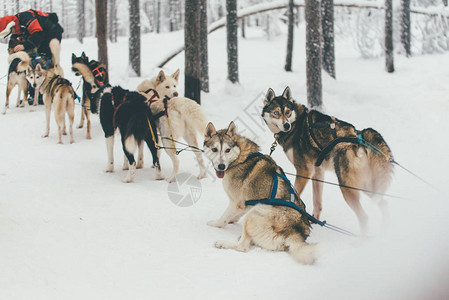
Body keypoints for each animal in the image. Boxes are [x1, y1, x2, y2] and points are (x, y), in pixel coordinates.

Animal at [203, 120, 316, 264]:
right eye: (214, 150)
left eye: (227, 150)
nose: (221, 166)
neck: (240, 157)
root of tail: (295, 232)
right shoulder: (246, 203)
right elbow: (233, 215)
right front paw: (232, 220)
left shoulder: (236, 202)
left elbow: (223, 218)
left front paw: (216, 223)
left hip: (255, 212)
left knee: (243, 247)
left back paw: (223, 243)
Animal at [260, 87, 390, 234]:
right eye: (276, 113)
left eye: (288, 112)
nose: (287, 125)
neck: (297, 123)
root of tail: (359, 138)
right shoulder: (317, 172)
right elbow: (317, 202)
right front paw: (314, 220)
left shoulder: (304, 171)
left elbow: (295, 194)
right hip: (363, 186)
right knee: (383, 203)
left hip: (347, 188)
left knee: (364, 217)